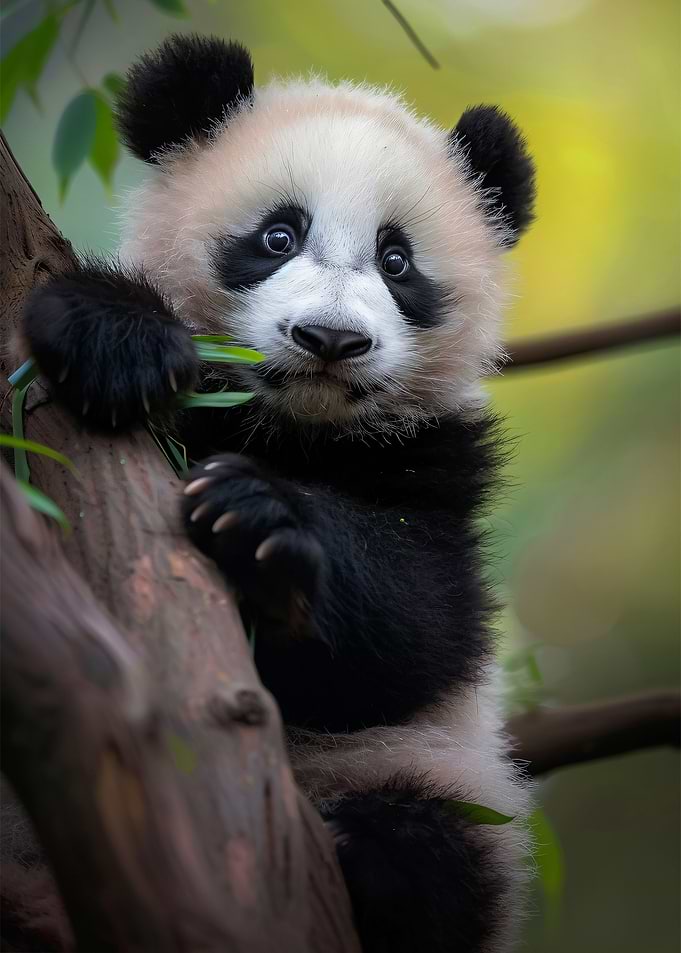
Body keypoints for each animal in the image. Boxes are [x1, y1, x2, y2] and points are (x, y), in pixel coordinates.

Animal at [22, 33, 537, 953]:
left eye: (396, 260)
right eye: (277, 234)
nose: (329, 339)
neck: (290, 427)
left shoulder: (437, 464)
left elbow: (423, 624)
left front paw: (261, 523)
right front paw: (116, 337)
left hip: (448, 783)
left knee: (440, 857)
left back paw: (373, 854)